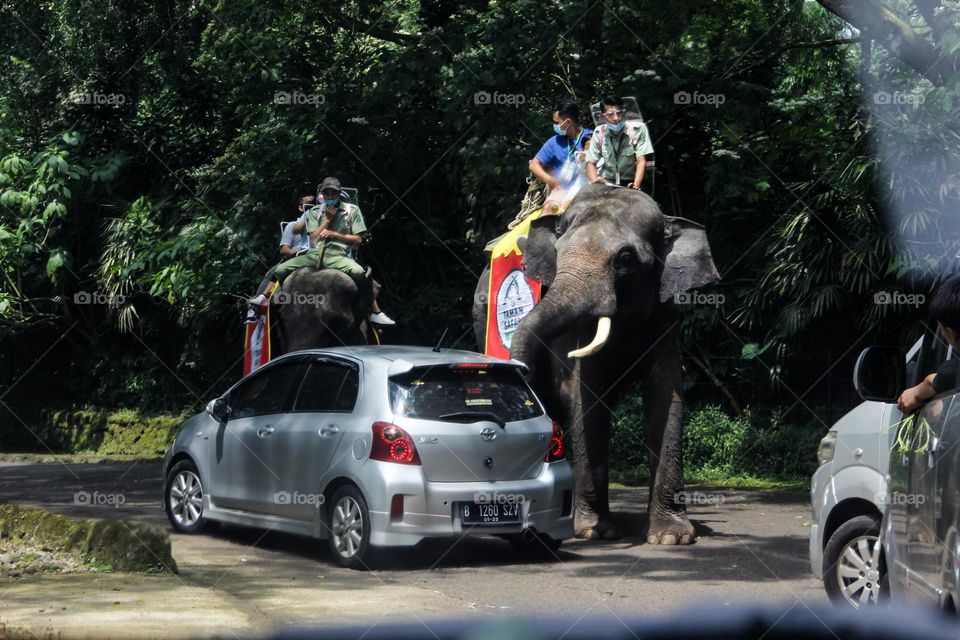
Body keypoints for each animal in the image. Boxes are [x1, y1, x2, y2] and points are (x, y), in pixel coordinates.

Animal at [476, 184, 716, 544]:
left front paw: (671, 537)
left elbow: (666, 396)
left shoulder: (666, 316)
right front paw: (594, 532)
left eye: (625, 259)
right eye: (558, 252)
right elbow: (585, 396)